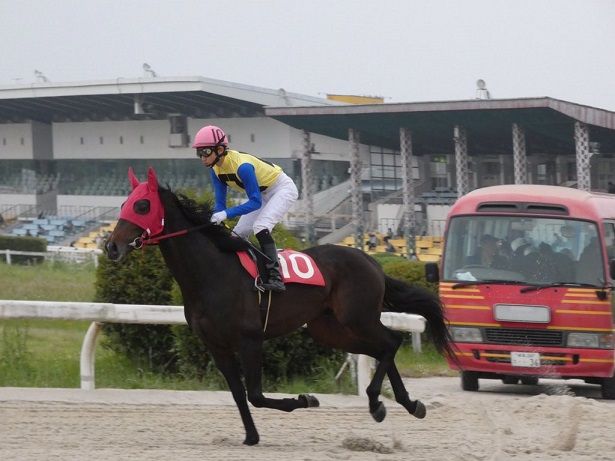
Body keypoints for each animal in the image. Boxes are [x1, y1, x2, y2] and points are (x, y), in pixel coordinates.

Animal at [106, 167, 454, 444]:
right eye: (124, 203)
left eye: (142, 205)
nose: (111, 247)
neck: (211, 274)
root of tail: (371, 261)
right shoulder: (216, 345)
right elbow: (238, 393)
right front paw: (250, 436)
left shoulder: (250, 340)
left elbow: (256, 395)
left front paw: (306, 399)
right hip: (330, 329)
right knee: (381, 349)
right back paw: (402, 404)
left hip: (358, 318)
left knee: (390, 342)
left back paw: (378, 401)